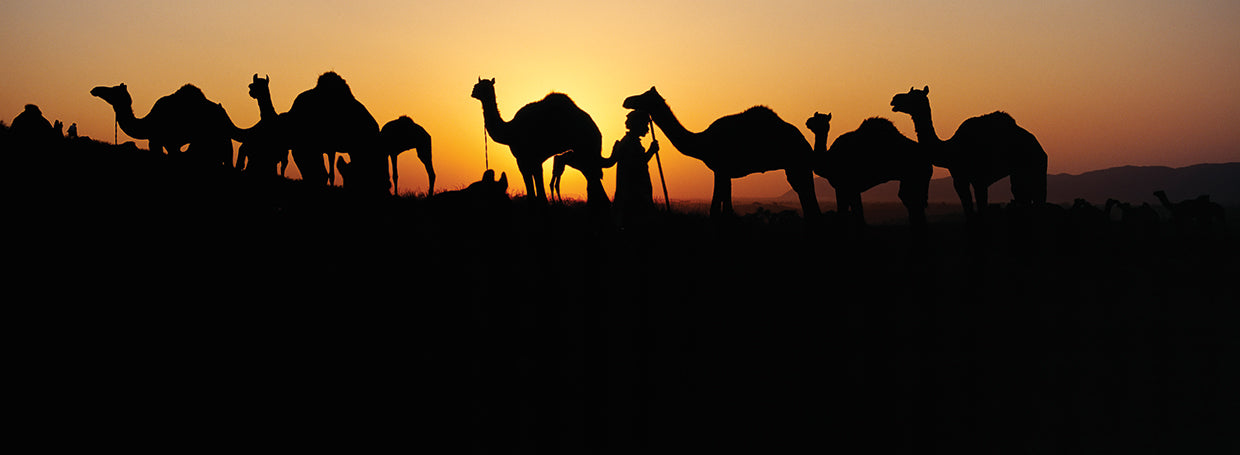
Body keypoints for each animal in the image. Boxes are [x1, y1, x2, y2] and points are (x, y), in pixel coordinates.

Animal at [90, 83, 235, 167]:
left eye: (113, 90)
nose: (95, 89)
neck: (147, 123)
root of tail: (224, 113)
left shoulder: (160, 141)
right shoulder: (167, 143)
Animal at [470, 77, 608, 209]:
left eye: (485, 86)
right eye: (477, 85)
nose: (473, 92)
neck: (511, 131)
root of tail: (597, 131)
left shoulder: (528, 158)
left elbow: (534, 180)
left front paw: (539, 203)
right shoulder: (528, 159)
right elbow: (533, 180)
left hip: (585, 148)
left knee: (592, 173)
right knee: (591, 174)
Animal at [622, 87, 820, 219]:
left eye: (644, 96)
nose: (626, 100)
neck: (702, 141)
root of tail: (805, 143)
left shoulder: (720, 169)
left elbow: (716, 208)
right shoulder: (726, 173)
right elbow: (726, 208)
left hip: (797, 163)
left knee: (809, 198)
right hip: (794, 166)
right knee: (806, 198)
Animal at [890, 86, 1047, 221]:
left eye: (914, 96)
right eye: (908, 92)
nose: (894, 98)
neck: (949, 149)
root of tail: (1040, 147)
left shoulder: (979, 179)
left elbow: (980, 211)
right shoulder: (960, 179)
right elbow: (968, 210)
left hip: (1035, 166)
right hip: (1019, 174)